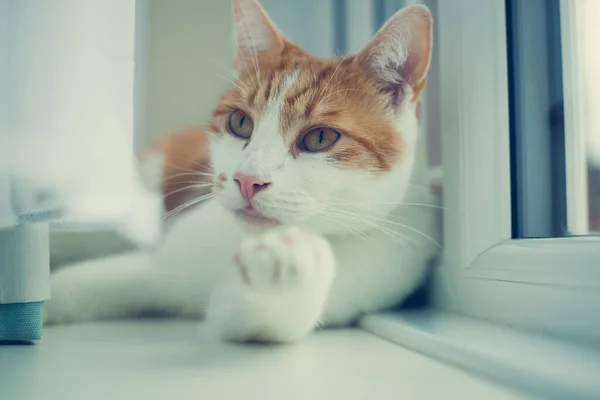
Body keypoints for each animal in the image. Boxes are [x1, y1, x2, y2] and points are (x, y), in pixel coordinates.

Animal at [44, 0, 440, 344]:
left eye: (320, 138)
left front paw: (289, 261)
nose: (248, 180)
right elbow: (76, 284)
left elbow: (250, 319)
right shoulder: (157, 265)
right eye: (240, 122)